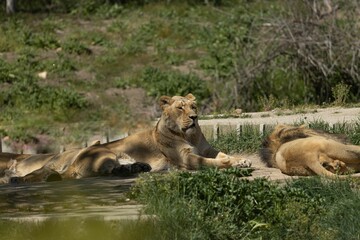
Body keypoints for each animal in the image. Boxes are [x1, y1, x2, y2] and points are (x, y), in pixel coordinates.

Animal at [0, 93, 250, 183]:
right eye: (180, 108)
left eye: (193, 106)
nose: (195, 117)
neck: (190, 136)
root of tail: (74, 161)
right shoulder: (187, 158)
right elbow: (209, 163)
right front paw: (229, 163)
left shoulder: (207, 148)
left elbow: (220, 154)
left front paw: (241, 160)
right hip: (106, 152)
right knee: (108, 171)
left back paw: (140, 167)